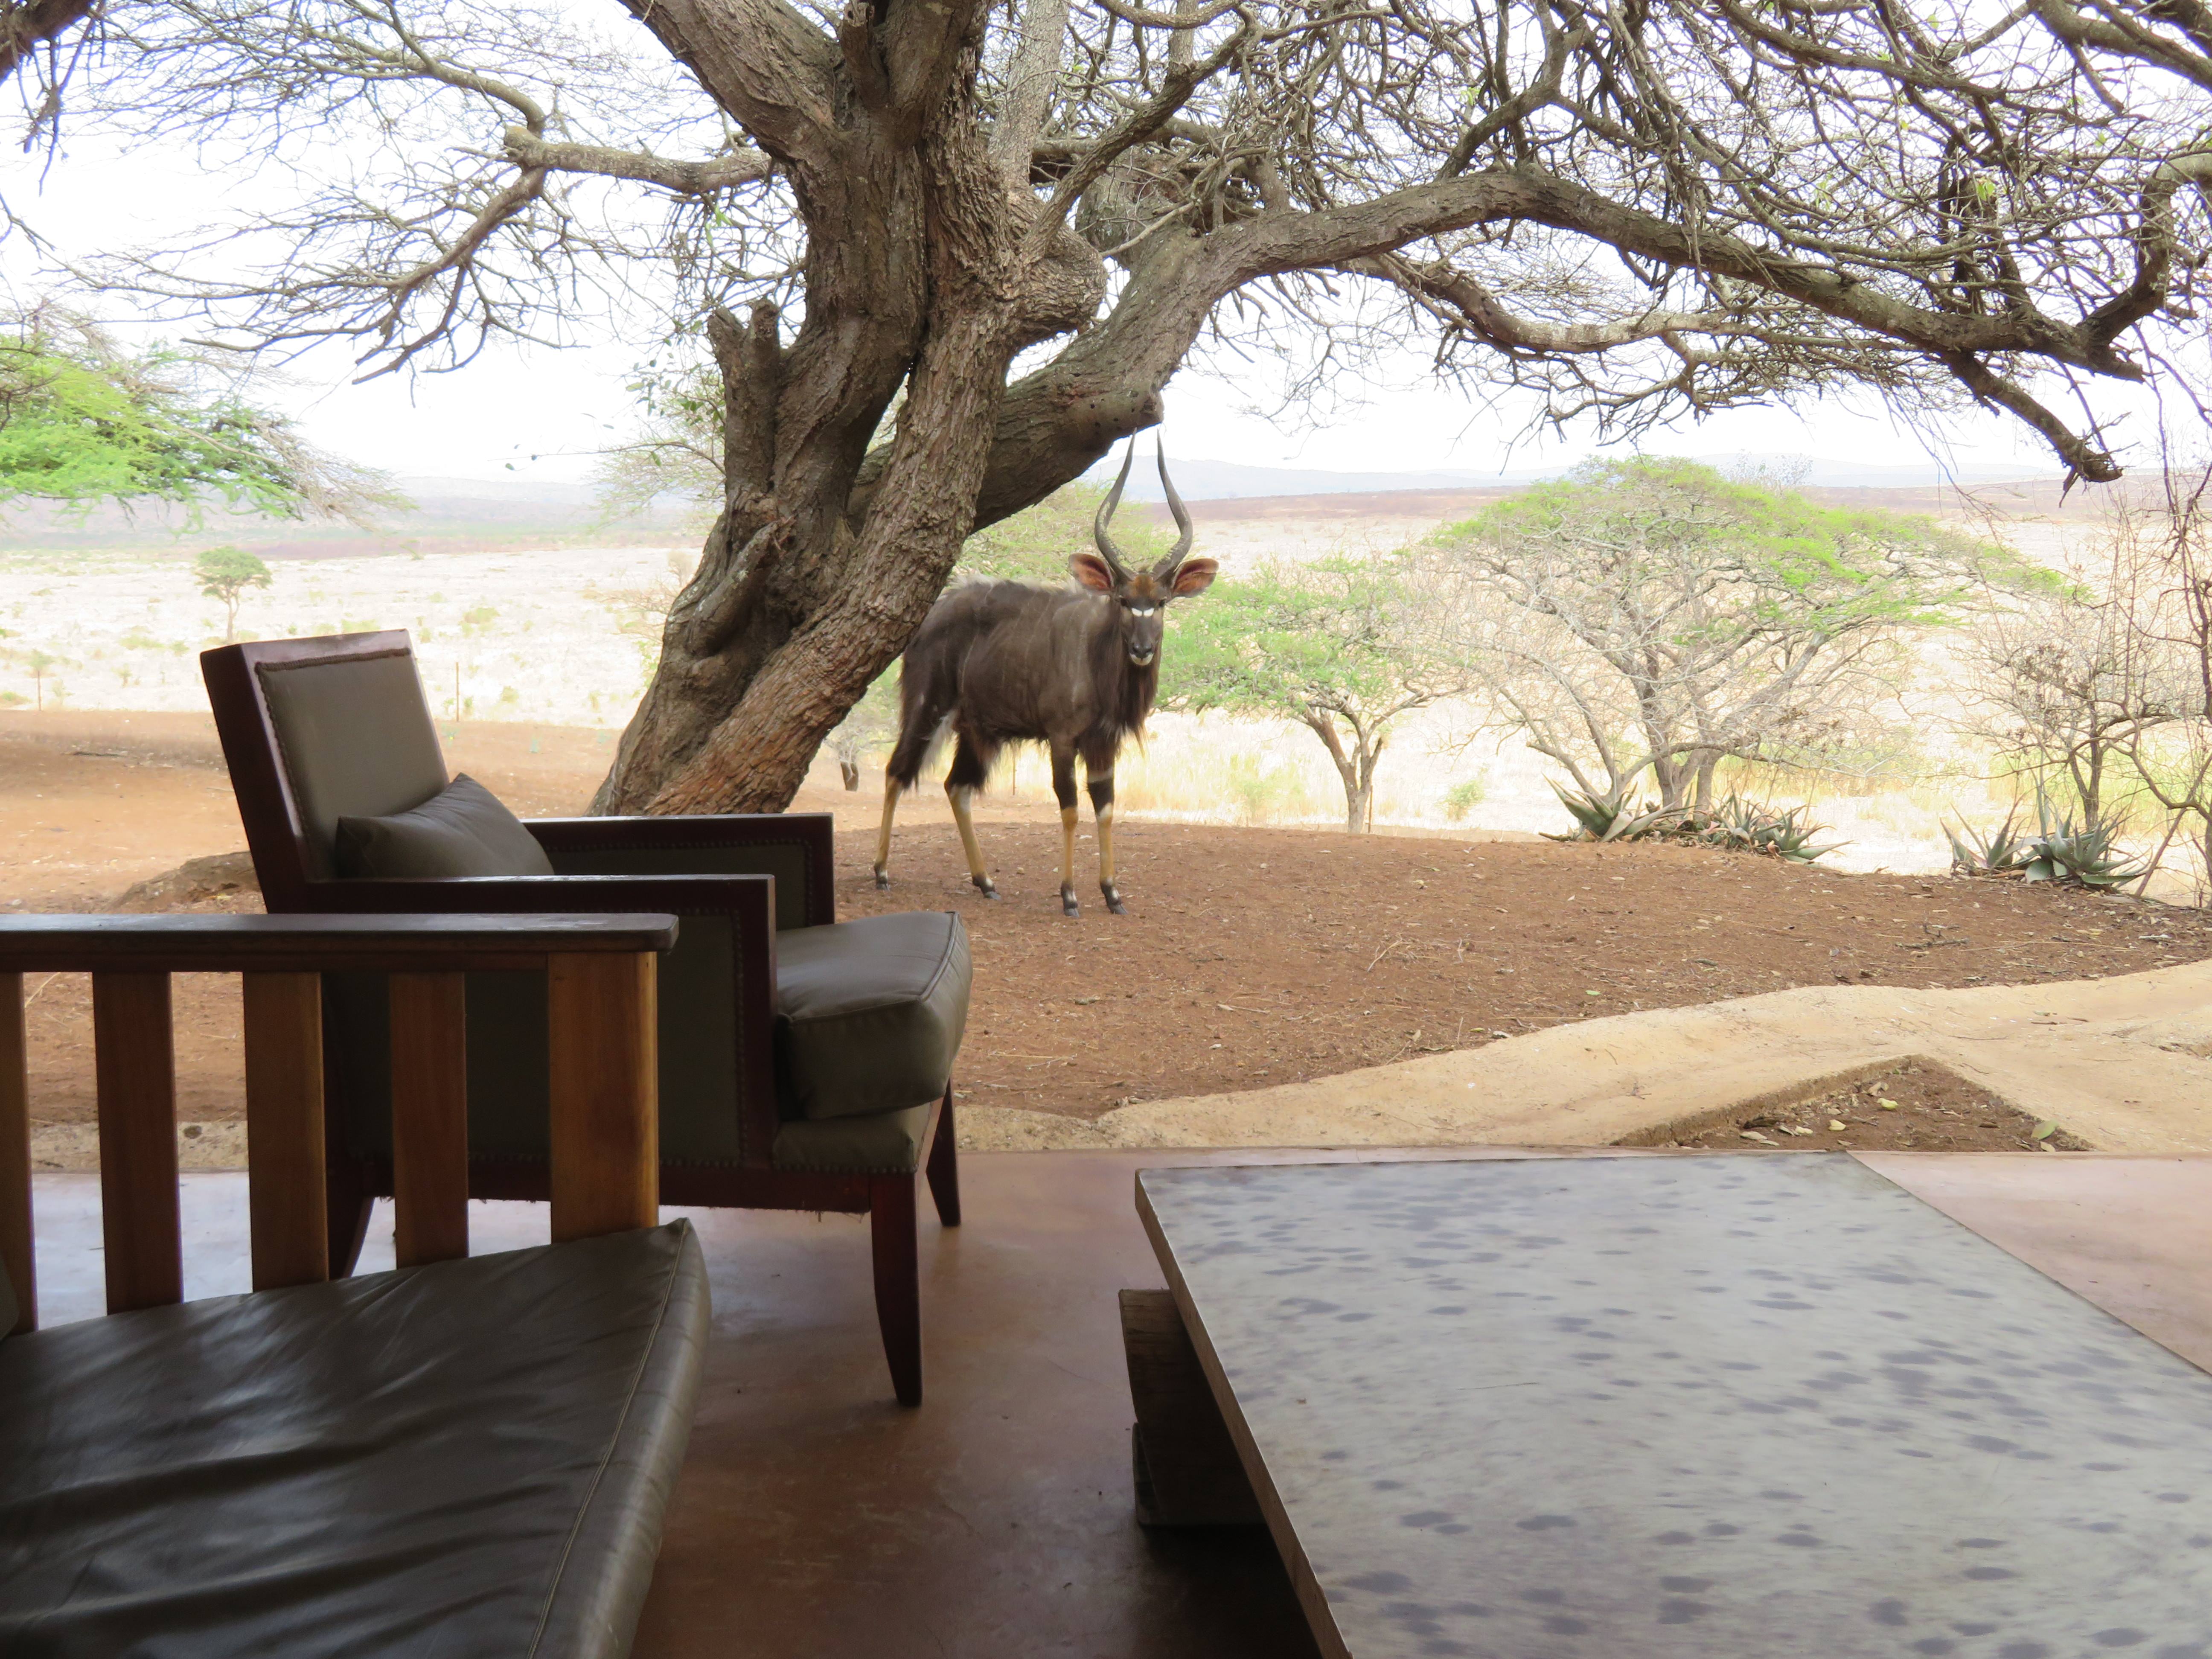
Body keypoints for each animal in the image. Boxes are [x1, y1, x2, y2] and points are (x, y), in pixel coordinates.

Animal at [873, 439, 1217, 916]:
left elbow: (1106, 808)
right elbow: (1070, 807)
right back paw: (882, 872)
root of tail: (930, 616)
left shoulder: (1103, 744)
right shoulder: (1063, 738)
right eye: (1123, 600)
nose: (1142, 650)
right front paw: (1070, 896)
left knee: (956, 786)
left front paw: (1112, 894)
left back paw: (986, 882)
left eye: (1162, 602)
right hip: (929, 707)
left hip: (976, 731)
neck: (1096, 656)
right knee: (896, 771)